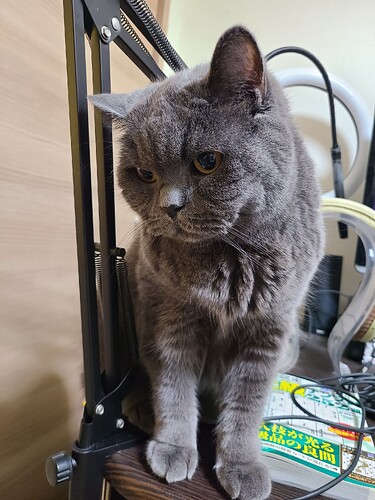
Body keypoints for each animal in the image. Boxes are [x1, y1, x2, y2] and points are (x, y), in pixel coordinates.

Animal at [92, 26, 326, 500]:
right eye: (144, 174)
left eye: (206, 162)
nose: (170, 207)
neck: (233, 257)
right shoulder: (170, 315)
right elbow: (174, 385)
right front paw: (172, 448)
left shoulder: (268, 332)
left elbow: (247, 404)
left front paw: (242, 464)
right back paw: (141, 407)